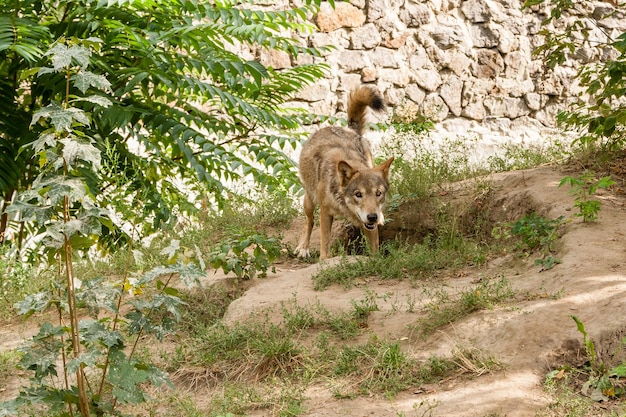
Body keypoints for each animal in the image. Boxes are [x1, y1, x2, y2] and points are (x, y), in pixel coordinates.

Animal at [294, 84, 392, 258]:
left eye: (378, 193)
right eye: (358, 194)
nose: (372, 216)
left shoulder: (368, 225)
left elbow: (374, 247)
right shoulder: (325, 212)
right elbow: (325, 243)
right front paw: (323, 261)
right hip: (309, 201)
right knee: (309, 220)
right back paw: (303, 248)